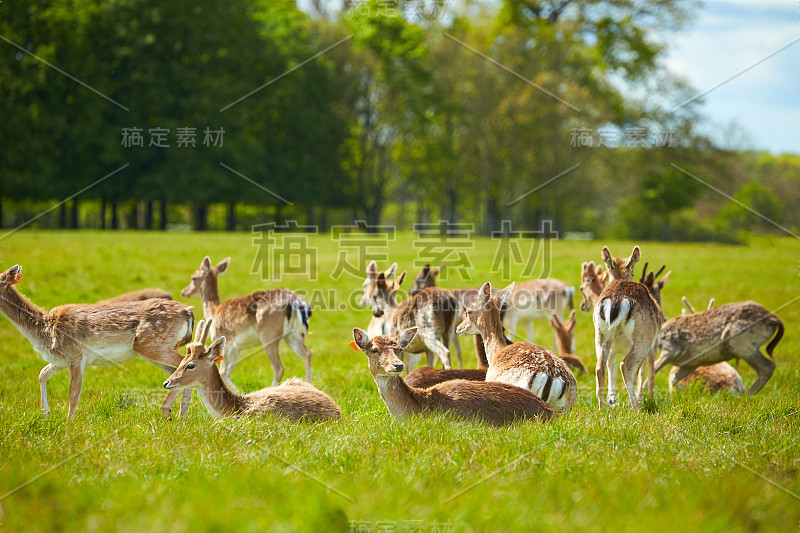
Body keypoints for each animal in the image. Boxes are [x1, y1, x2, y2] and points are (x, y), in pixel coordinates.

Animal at [0, 264, 195, 418]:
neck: (44, 330)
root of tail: (188, 312)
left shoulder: (76, 355)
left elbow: (73, 395)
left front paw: (68, 426)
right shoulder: (61, 360)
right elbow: (42, 374)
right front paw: (46, 412)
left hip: (150, 345)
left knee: (187, 363)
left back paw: (169, 412)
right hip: (154, 350)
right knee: (175, 372)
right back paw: (179, 416)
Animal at [181, 256, 312, 388]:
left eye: (193, 277)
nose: (183, 291)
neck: (214, 311)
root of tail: (296, 302)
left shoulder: (226, 341)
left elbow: (223, 371)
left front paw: (236, 389)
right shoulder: (237, 348)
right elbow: (228, 371)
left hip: (269, 335)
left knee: (278, 367)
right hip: (293, 335)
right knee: (307, 354)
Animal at [592, 245, 664, 408]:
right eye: (633, 270)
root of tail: (616, 300)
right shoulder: (654, 344)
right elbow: (644, 371)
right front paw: (646, 398)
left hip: (600, 335)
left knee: (599, 367)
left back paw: (602, 408)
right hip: (643, 339)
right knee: (626, 365)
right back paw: (635, 408)